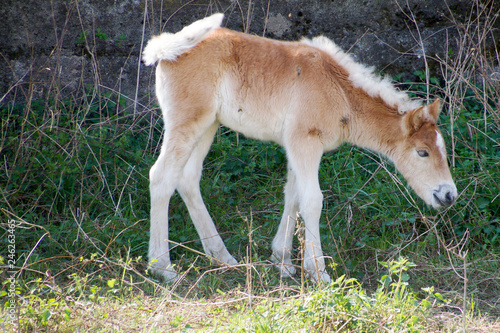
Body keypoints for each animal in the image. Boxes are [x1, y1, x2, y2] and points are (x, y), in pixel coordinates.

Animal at [144, 13, 458, 282]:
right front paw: (318, 272)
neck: (339, 90)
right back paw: (163, 268)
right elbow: (312, 201)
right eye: (422, 152)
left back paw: (222, 257)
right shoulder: (305, 141)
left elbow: (292, 197)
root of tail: (165, 50)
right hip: (186, 122)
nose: (449, 195)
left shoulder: (296, 144)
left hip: (208, 125)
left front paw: (282, 261)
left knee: (187, 179)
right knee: (161, 177)